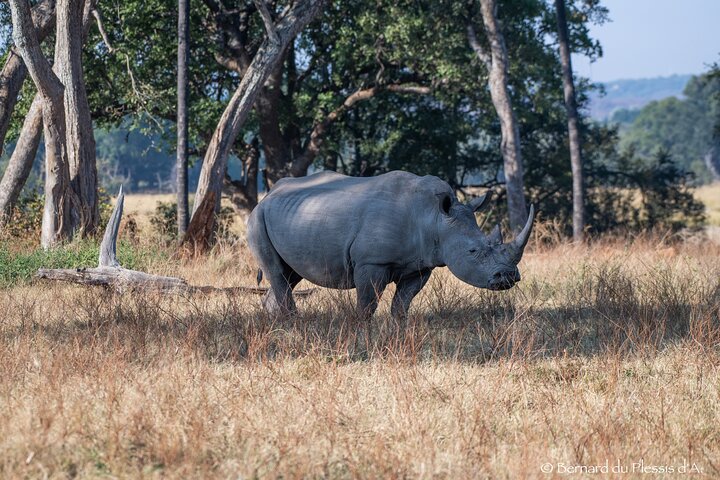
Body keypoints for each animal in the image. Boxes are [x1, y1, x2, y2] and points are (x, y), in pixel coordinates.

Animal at [247, 170, 534, 318]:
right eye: (473, 251)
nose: (508, 277)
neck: (434, 218)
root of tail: (268, 194)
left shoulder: (421, 265)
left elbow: (402, 304)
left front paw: (399, 331)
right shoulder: (371, 262)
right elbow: (367, 304)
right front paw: (363, 334)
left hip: (290, 217)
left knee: (289, 275)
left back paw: (278, 325)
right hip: (257, 218)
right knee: (278, 274)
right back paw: (292, 325)